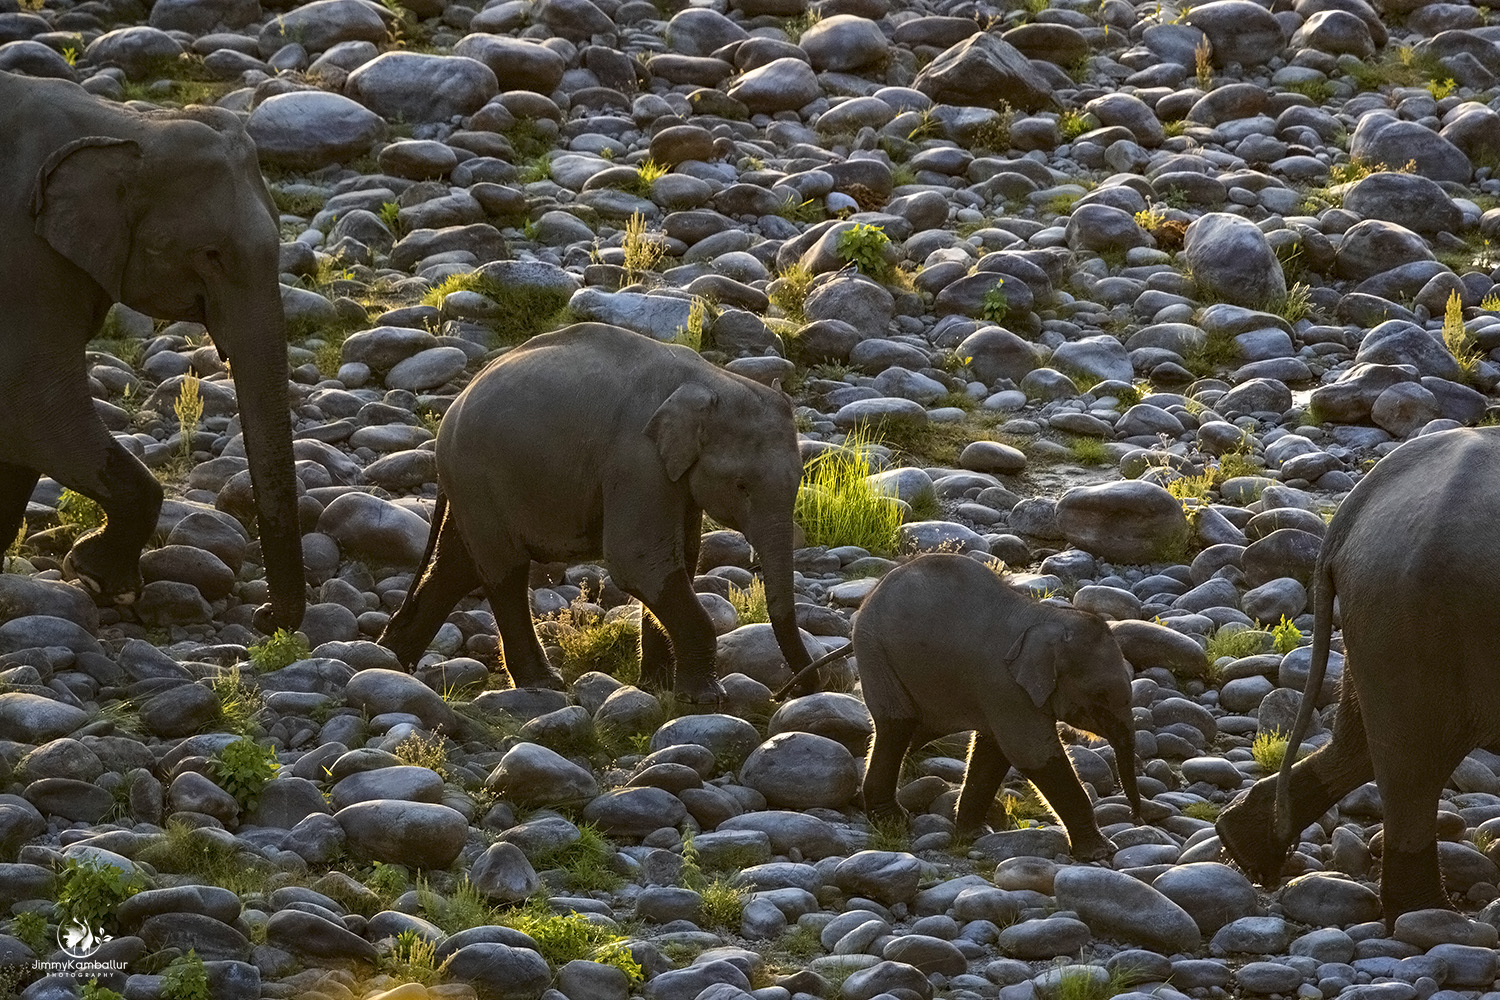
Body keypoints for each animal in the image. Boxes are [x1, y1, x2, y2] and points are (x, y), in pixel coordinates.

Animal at [0, 71, 304, 631]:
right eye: (211, 254)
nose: (264, 615)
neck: (125, 124)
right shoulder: (20, 259)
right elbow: (32, 406)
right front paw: (101, 582)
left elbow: (21, 433)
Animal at [378, 322, 815, 704]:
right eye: (742, 486)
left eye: (799, 479)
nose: (790, 692)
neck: (709, 380)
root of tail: (452, 409)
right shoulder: (636, 462)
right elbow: (639, 561)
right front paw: (705, 699)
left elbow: (680, 559)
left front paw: (657, 687)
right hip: (477, 478)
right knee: (504, 570)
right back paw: (542, 684)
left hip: (472, 488)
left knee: (458, 568)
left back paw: (392, 659)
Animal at [855, 553, 1142, 859]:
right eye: (1100, 695)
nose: (1136, 817)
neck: (1045, 619)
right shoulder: (1005, 686)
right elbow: (1031, 753)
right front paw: (1101, 852)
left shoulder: (999, 694)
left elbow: (993, 751)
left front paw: (975, 835)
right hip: (875, 651)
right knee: (897, 724)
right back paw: (891, 819)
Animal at [1217, 427, 1500, 925]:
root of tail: (1349, 516)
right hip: (1417, 618)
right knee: (1412, 763)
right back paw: (1432, 918)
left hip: (1382, 617)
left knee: (1363, 742)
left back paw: (1245, 847)